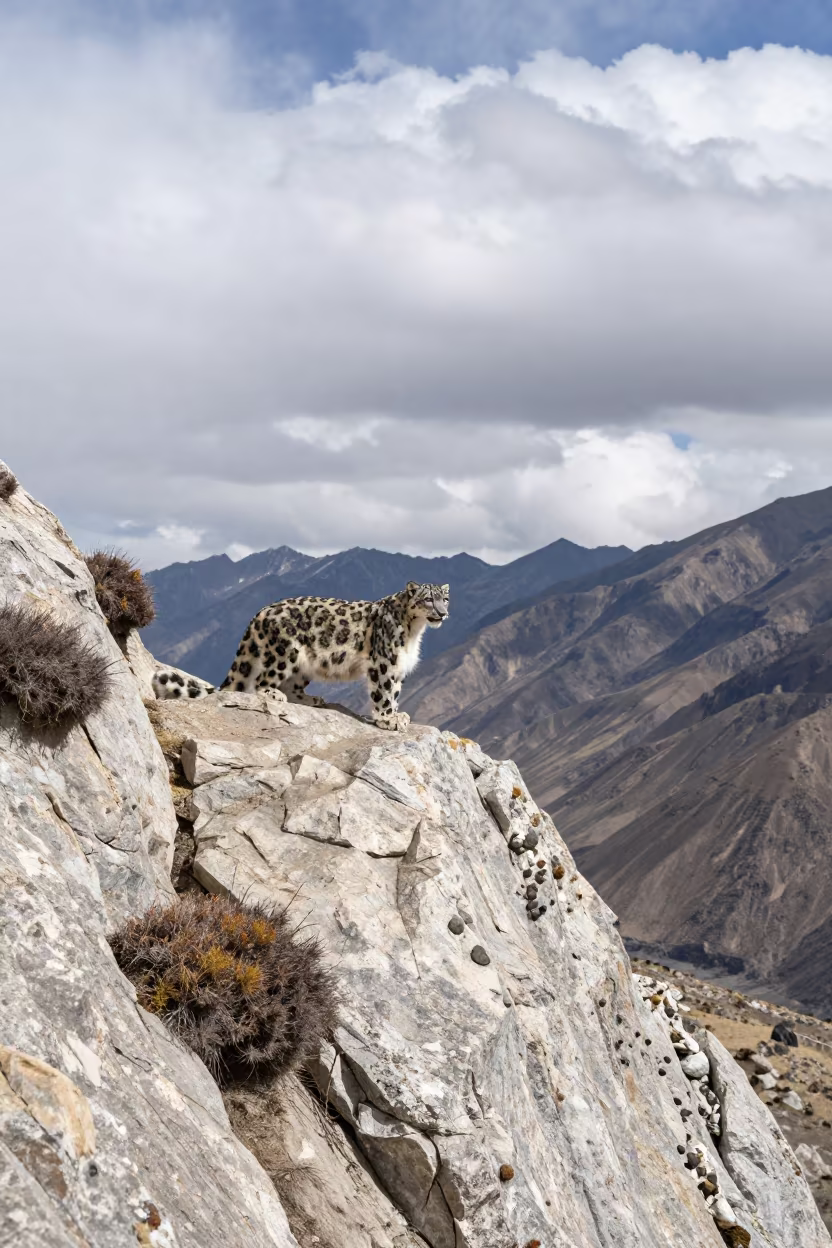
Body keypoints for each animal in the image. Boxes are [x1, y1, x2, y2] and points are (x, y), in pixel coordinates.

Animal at [219, 580, 450, 730]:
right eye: (428, 599)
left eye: (445, 599)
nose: (443, 613)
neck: (414, 631)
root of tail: (262, 611)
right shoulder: (384, 662)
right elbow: (384, 692)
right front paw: (388, 719)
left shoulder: (399, 667)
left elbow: (394, 692)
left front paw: (396, 715)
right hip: (284, 652)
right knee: (262, 681)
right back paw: (274, 694)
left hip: (304, 665)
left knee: (290, 685)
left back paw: (312, 699)